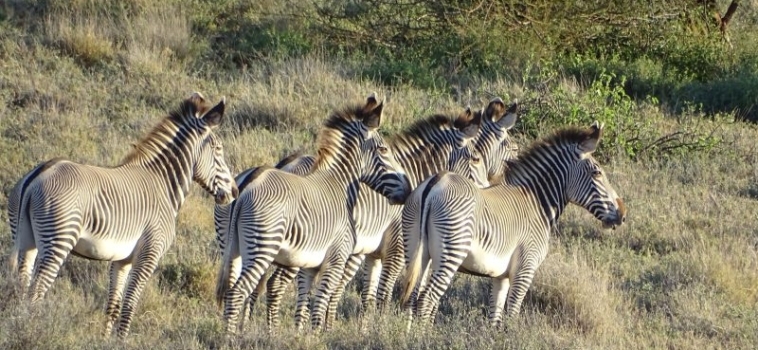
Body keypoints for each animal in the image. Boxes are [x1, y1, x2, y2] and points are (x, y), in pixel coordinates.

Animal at [5, 93, 238, 340]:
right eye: (219, 149)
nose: (234, 192)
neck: (163, 184)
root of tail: (37, 175)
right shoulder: (149, 255)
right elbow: (130, 303)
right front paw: (122, 340)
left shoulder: (122, 259)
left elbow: (113, 305)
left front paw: (106, 341)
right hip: (58, 240)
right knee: (36, 291)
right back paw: (34, 330)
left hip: (27, 240)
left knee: (22, 287)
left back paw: (21, 324)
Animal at [217, 92, 412, 334]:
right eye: (384, 150)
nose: (409, 188)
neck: (340, 185)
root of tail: (247, 185)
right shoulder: (337, 258)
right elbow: (321, 304)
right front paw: (319, 336)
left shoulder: (311, 265)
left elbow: (307, 303)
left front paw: (303, 336)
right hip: (263, 246)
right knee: (237, 292)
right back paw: (229, 337)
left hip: (233, 247)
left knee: (232, 288)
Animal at [404, 120, 628, 328]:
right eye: (597, 173)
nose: (623, 214)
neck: (536, 204)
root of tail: (436, 182)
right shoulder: (525, 269)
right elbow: (512, 314)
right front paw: (512, 336)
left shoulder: (500, 276)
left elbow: (495, 317)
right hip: (451, 252)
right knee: (426, 299)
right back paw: (423, 337)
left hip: (417, 249)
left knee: (411, 296)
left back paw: (407, 335)